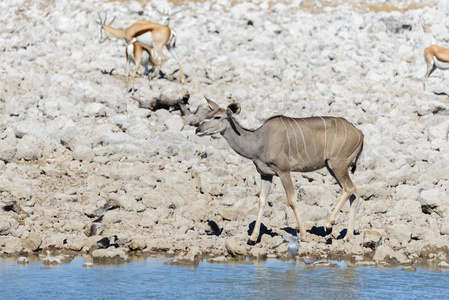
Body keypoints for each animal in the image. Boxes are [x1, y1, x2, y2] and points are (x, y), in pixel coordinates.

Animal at [196, 98, 364, 244]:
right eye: (207, 115)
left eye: (217, 117)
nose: (198, 129)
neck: (260, 140)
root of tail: (359, 133)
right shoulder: (265, 174)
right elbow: (262, 200)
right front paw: (252, 238)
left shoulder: (284, 171)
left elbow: (291, 200)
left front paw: (304, 235)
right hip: (332, 168)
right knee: (355, 192)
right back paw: (347, 236)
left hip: (338, 165)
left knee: (349, 189)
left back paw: (329, 226)